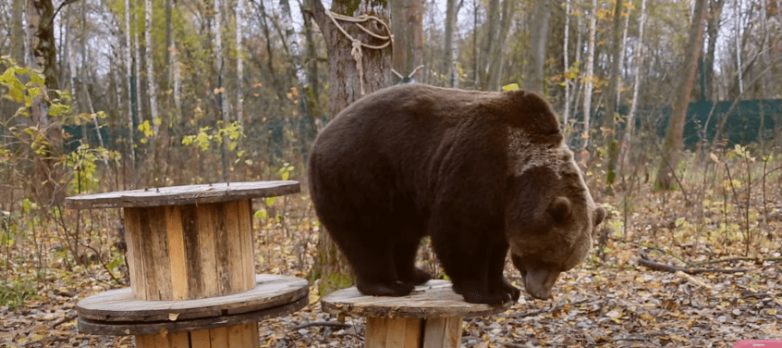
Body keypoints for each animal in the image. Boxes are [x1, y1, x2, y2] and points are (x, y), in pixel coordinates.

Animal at [310, 83, 608, 304]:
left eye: (565, 265)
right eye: (547, 258)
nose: (541, 293)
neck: (517, 177)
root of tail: (320, 137)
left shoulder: (502, 208)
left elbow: (495, 247)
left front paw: (505, 288)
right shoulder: (477, 167)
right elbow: (461, 233)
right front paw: (484, 293)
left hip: (400, 196)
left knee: (404, 236)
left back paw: (415, 274)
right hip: (359, 178)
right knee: (368, 236)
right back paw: (388, 285)